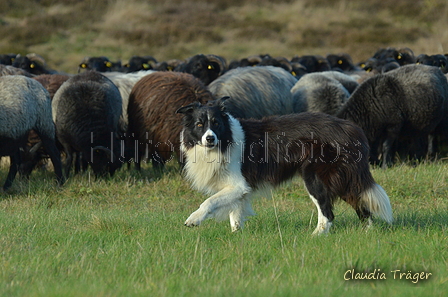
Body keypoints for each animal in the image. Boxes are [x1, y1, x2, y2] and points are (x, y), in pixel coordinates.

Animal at [176, 98, 392, 235]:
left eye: (216, 123)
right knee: (361, 202)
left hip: (315, 177)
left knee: (328, 211)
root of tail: (351, 129)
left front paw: (194, 219)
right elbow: (234, 215)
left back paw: (315, 236)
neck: (223, 142)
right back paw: (368, 233)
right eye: (199, 125)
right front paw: (236, 236)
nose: (209, 139)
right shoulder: (237, 188)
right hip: (342, 178)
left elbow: (209, 202)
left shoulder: (238, 184)